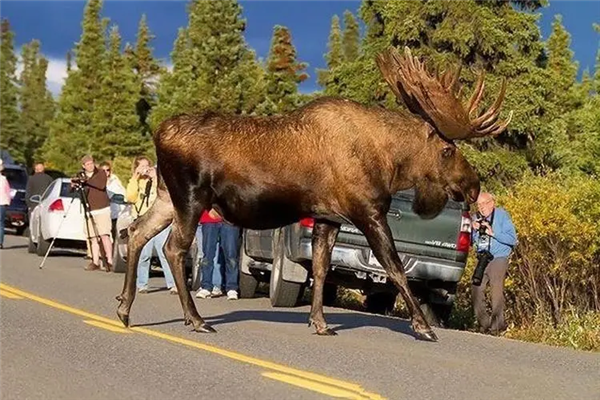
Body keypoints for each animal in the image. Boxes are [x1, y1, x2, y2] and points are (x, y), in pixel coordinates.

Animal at [116, 46, 510, 340]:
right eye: (447, 150)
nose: (472, 185)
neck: (389, 163)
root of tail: (159, 133)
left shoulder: (327, 216)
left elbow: (321, 269)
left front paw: (319, 322)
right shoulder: (368, 211)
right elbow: (395, 267)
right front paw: (423, 326)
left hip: (167, 197)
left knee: (136, 231)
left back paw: (124, 308)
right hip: (192, 197)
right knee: (172, 248)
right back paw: (195, 319)